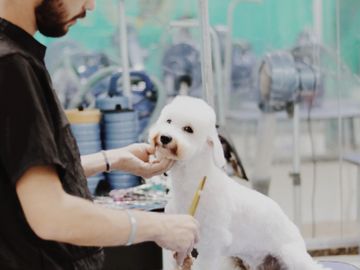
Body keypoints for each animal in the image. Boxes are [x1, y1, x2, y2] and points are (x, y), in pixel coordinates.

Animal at [148, 96, 326, 268]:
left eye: (188, 129)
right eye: (169, 121)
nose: (165, 137)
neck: (190, 182)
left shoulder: (212, 243)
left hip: (291, 255)